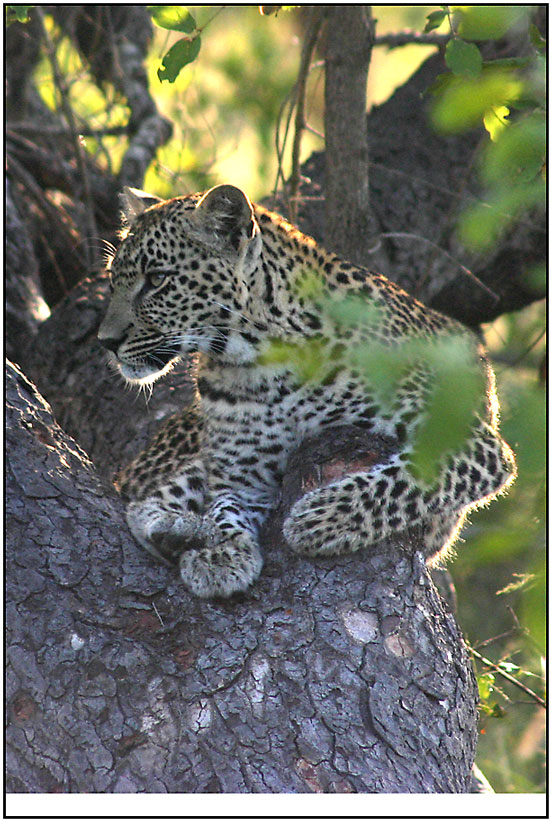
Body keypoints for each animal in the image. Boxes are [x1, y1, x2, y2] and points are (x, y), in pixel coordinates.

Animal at [98, 184, 516, 596]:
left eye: (156, 279)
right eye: (113, 280)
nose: (106, 342)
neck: (259, 357)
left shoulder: (462, 436)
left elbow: (403, 480)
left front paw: (322, 519)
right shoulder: (244, 476)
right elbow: (225, 505)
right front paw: (222, 550)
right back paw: (173, 528)